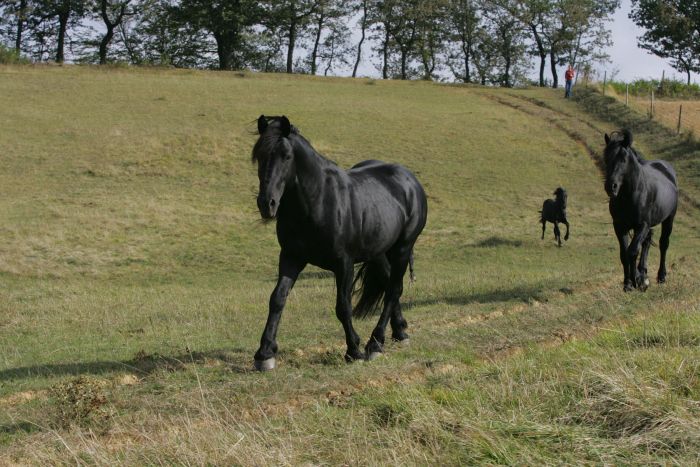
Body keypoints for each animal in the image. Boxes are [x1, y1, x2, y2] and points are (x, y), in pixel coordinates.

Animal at [250, 115, 426, 372]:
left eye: (286, 156)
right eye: (259, 155)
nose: (267, 203)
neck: (318, 201)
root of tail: (410, 181)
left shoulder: (344, 263)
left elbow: (343, 306)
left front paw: (353, 350)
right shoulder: (291, 257)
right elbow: (277, 299)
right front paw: (265, 353)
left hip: (402, 249)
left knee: (394, 289)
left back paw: (375, 343)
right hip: (378, 252)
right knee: (387, 284)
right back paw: (399, 331)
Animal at [600, 130, 680, 292]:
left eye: (623, 159)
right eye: (606, 157)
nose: (611, 186)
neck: (632, 194)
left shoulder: (642, 225)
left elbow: (632, 251)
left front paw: (637, 280)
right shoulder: (619, 226)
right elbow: (624, 254)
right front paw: (629, 283)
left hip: (669, 219)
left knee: (663, 244)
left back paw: (661, 277)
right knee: (646, 243)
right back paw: (643, 272)